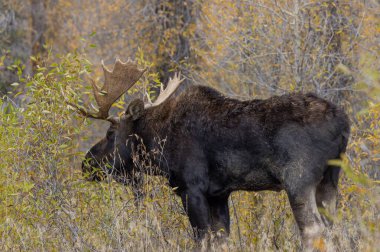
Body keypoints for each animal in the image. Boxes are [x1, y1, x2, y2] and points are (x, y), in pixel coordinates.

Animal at [71, 59, 350, 250]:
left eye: (110, 132)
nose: (86, 164)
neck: (160, 145)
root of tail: (343, 123)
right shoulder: (219, 194)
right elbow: (221, 240)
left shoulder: (191, 188)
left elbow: (201, 239)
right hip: (330, 180)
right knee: (334, 229)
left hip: (298, 180)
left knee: (314, 230)